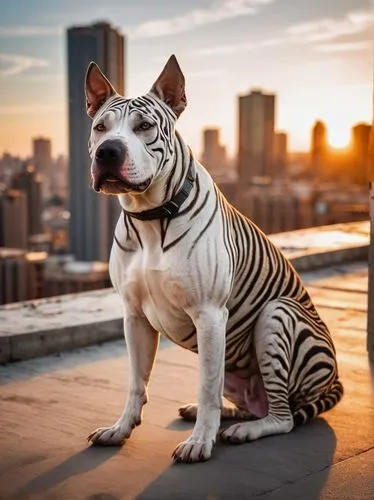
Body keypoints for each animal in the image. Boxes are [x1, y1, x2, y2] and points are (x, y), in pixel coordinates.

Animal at [86, 52, 344, 462]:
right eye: (100, 127)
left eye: (144, 126)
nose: (108, 151)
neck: (152, 217)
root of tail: (333, 381)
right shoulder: (135, 316)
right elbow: (136, 382)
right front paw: (121, 428)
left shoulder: (209, 314)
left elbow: (206, 386)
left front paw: (199, 441)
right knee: (250, 402)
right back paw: (225, 414)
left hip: (276, 314)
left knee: (282, 416)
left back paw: (245, 429)